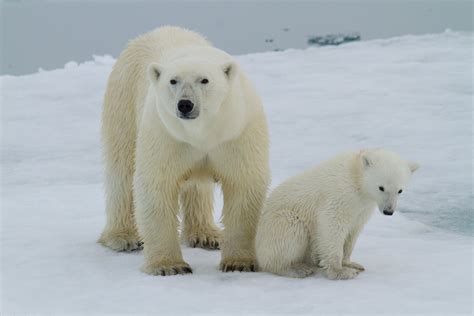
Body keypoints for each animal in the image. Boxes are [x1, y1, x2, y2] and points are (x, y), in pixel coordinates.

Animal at [99, 25, 270, 276]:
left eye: (204, 80)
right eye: (173, 81)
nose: (185, 104)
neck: (202, 133)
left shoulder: (237, 131)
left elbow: (243, 184)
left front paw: (238, 262)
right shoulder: (166, 134)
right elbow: (156, 184)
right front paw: (169, 266)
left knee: (197, 189)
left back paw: (206, 234)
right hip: (123, 99)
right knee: (121, 169)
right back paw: (123, 237)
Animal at [256, 149, 418, 278]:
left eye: (400, 190)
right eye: (381, 187)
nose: (388, 211)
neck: (356, 176)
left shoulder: (362, 208)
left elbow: (353, 232)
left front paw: (351, 264)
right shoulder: (340, 195)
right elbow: (332, 225)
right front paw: (340, 271)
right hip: (280, 221)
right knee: (291, 232)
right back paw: (296, 269)